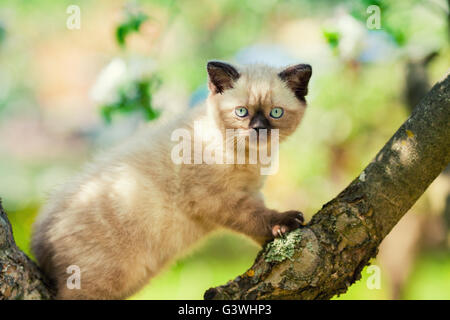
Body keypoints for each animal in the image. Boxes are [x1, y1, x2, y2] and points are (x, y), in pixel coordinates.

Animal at [31, 60, 312, 300]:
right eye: (241, 112)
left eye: (276, 113)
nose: (259, 129)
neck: (251, 157)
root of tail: (42, 231)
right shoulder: (219, 200)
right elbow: (255, 218)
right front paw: (284, 223)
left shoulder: (249, 192)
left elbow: (258, 220)